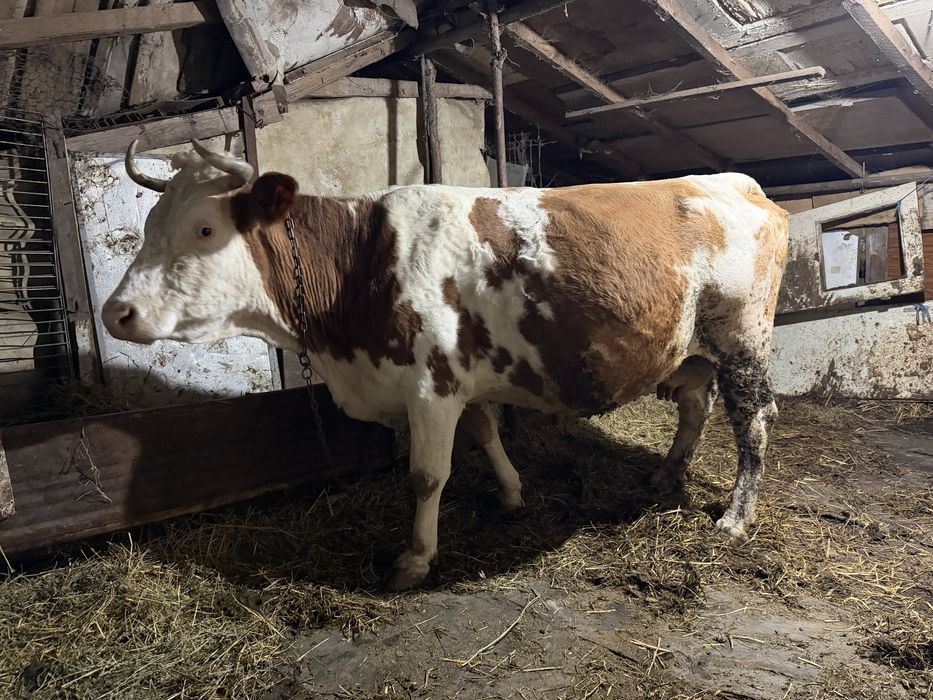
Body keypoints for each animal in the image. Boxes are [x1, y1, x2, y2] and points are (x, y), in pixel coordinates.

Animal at [102, 140, 789, 590]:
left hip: (744, 342)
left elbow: (427, 475)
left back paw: (734, 518)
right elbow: (485, 434)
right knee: (696, 409)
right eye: (150, 222)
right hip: (692, 350)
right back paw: (666, 475)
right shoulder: (459, 379)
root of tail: (733, 182)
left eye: (204, 228)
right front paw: (512, 493)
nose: (116, 312)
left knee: (753, 428)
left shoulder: (429, 387)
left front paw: (415, 559)